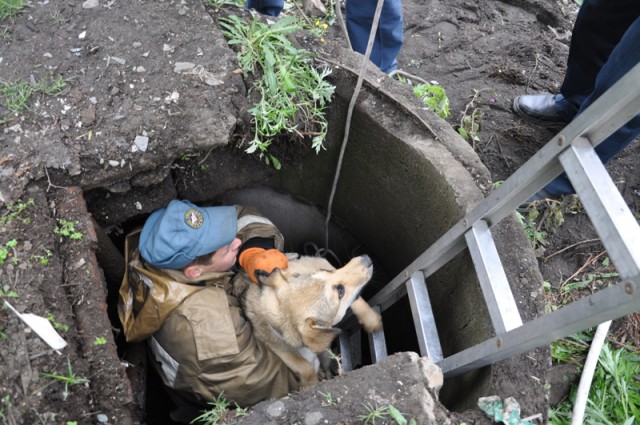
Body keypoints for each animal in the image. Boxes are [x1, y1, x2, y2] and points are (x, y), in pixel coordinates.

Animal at [234, 252, 380, 388]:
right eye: (340, 291)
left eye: (324, 272)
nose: (366, 258)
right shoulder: (280, 349)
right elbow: (304, 366)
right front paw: (310, 382)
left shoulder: (321, 264)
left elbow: (357, 300)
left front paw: (371, 319)